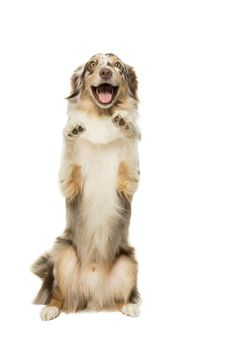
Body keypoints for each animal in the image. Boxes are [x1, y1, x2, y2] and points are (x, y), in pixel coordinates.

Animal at [31, 52, 141, 320]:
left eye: (117, 65)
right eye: (92, 64)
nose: (105, 71)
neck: (102, 117)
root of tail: (93, 296)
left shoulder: (128, 181)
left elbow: (129, 143)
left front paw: (127, 124)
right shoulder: (69, 183)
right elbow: (69, 153)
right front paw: (72, 128)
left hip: (129, 262)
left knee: (121, 297)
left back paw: (129, 306)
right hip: (62, 253)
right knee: (59, 294)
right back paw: (51, 308)